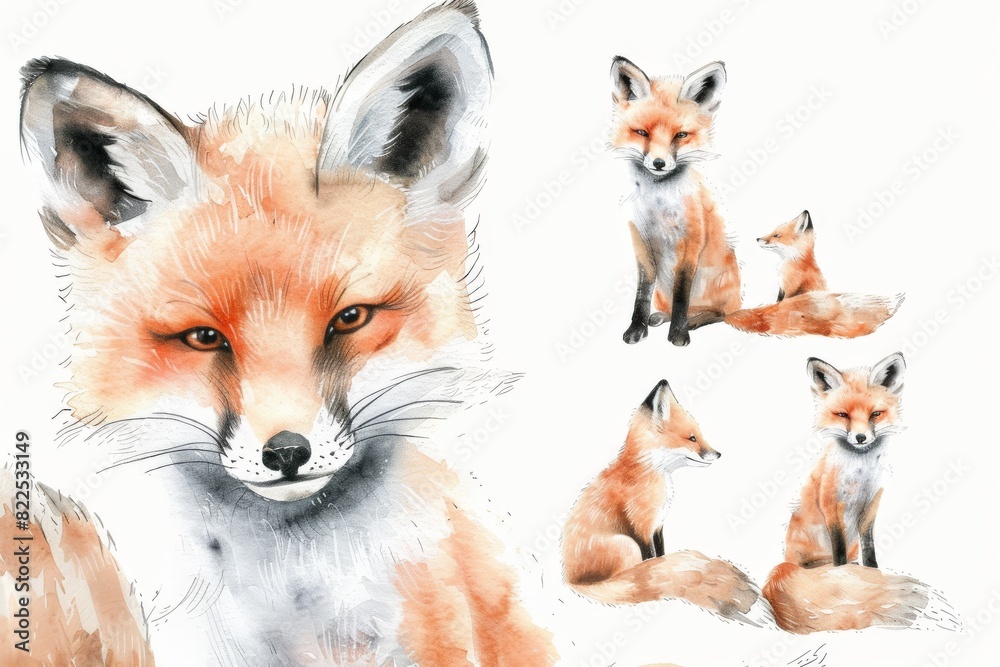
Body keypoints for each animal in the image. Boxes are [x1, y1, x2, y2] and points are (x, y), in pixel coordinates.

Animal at [562, 380, 773, 627]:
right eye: (692, 438)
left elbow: (661, 554)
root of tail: (572, 581)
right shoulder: (642, 526)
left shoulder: (658, 524)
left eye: (699, 434)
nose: (718, 454)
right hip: (626, 545)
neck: (653, 473)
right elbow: (652, 559)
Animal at [610, 57, 901, 346]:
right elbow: (641, 294)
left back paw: (694, 321)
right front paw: (636, 330)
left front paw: (679, 335)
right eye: (642, 132)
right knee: (675, 308)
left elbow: (682, 294)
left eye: (681, 135)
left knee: (717, 313)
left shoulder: (690, 241)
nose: (659, 163)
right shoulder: (639, 240)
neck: (658, 205)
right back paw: (662, 316)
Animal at [762, 352, 942, 633]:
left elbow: (869, 547)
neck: (860, 472)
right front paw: (846, 574)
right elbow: (838, 549)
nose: (860, 437)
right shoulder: (831, 503)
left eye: (875, 414)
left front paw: (873, 570)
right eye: (843, 415)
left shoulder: (872, 502)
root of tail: (785, 564)